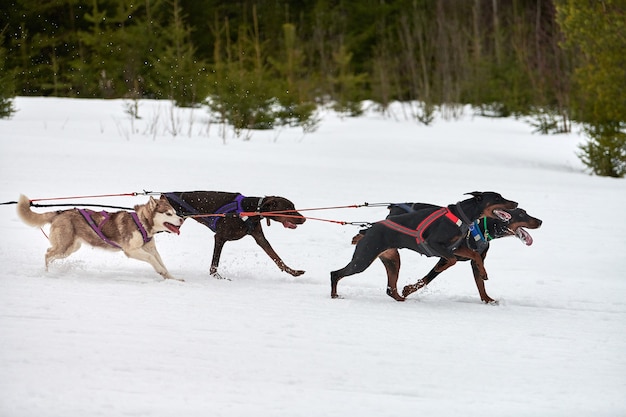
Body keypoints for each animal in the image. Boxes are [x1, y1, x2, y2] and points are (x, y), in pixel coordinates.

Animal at [17, 194, 183, 280]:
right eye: (168, 214)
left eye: (175, 212)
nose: (181, 219)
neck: (142, 223)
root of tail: (60, 213)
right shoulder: (131, 251)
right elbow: (152, 260)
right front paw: (161, 272)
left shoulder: (151, 249)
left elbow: (160, 262)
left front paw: (171, 278)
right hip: (64, 247)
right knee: (47, 254)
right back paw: (46, 273)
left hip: (70, 248)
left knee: (50, 253)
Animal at [163, 192, 304, 280]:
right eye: (289, 208)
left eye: (293, 206)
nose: (303, 219)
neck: (251, 208)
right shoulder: (220, 238)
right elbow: (215, 263)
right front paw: (217, 277)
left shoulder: (260, 238)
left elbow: (276, 257)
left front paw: (293, 271)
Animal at [330, 192, 516, 300]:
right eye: (497, 198)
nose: (516, 203)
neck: (462, 216)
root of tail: (369, 229)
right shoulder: (434, 244)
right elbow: (451, 260)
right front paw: (440, 268)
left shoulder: (455, 247)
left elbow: (474, 256)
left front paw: (483, 273)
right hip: (363, 259)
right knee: (335, 273)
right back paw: (334, 295)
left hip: (392, 259)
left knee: (390, 289)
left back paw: (401, 298)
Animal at [388, 205, 540, 302]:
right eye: (521, 214)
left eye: (525, 212)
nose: (540, 221)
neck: (483, 227)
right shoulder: (449, 254)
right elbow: (428, 278)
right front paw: (408, 289)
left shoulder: (473, 262)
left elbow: (480, 282)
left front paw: (487, 299)